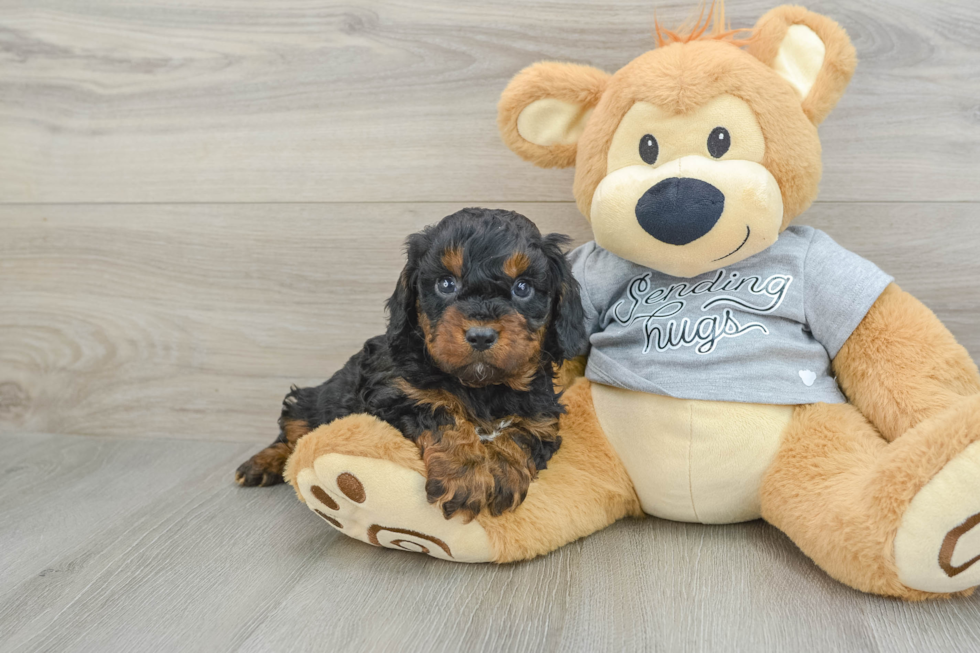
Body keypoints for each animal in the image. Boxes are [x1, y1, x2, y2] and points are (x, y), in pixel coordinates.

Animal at [235, 209, 588, 520]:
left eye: (522, 287)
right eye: (446, 284)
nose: (481, 335)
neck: (481, 387)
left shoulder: (542, 413)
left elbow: (521, 432)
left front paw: (502, 470)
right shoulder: (397, 392)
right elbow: (442, 412)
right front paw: (467, 475)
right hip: (313, 399)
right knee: (292, 432)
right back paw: (260, 464)